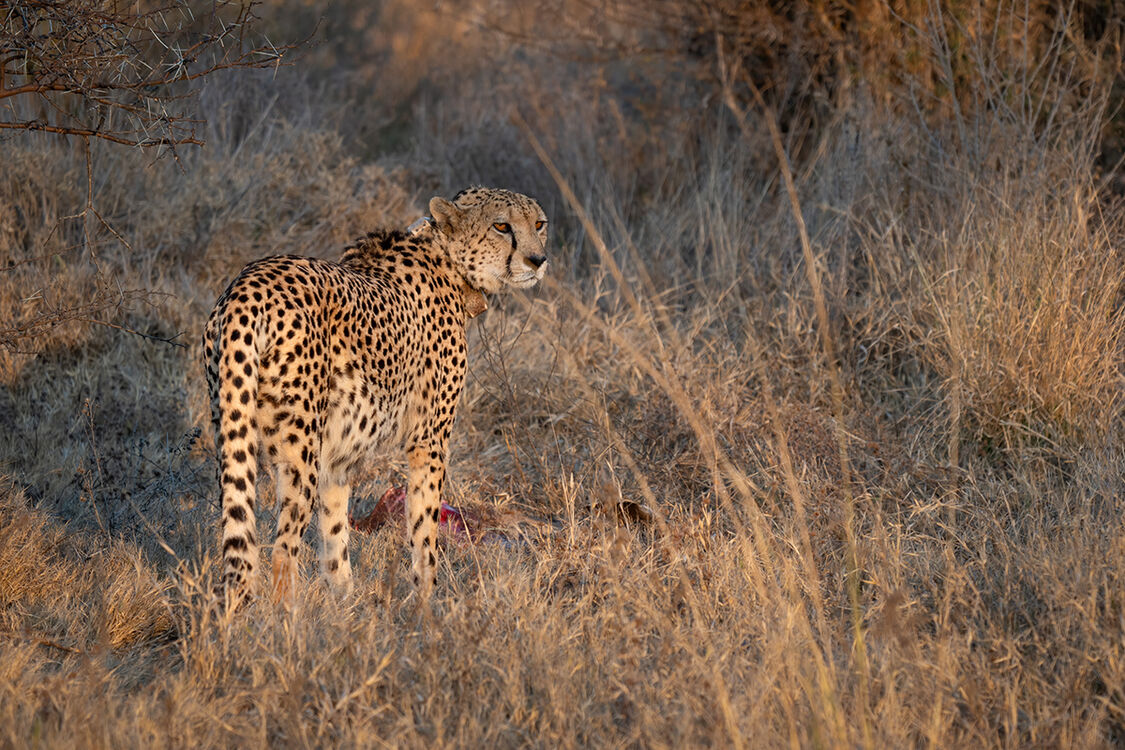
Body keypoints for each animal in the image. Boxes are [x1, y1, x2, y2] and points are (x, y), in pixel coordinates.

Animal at [202, 187, 548, 605]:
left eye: (539, 224)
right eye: (501, 226)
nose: (538, 260)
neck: (447, 260)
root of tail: (249, 283)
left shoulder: (336, 457)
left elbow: (335, 530)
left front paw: (344, 601)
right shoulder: (428, 440)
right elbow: (424, 527)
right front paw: (426, 602)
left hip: (230, 428)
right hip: (298, 450)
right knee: (282, 551)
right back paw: (288, 619)